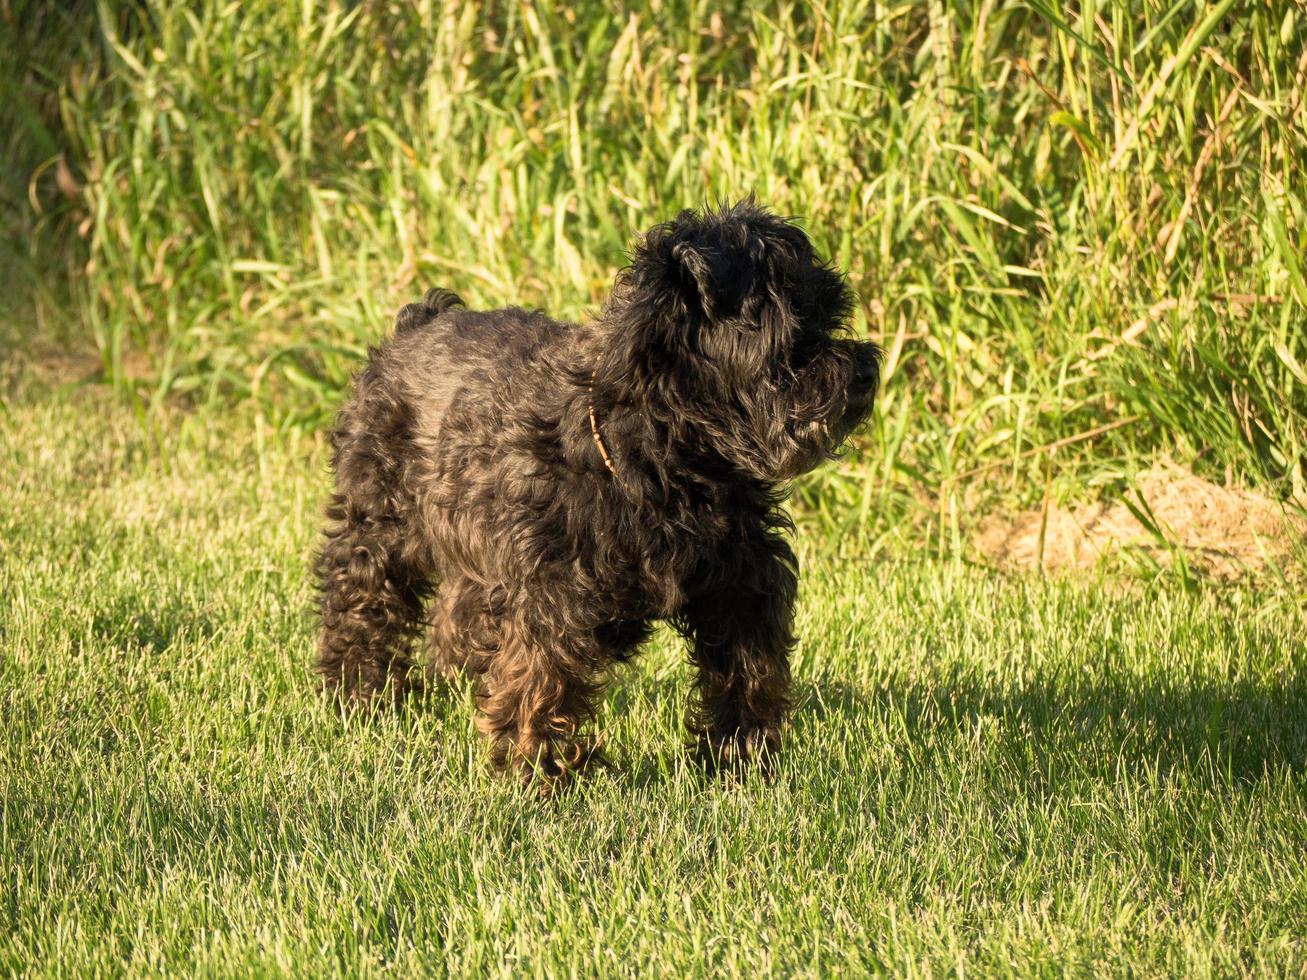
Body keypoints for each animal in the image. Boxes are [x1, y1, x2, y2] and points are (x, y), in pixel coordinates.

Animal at [314, 199, 878, 789]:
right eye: (794, 329)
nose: (866, 370)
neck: (665, 462)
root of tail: (419, 321)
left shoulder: (741, 587)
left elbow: (748, 675)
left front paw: (741, 760)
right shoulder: (551, 595)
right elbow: (540, 680)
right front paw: (539, 772)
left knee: (455, 614)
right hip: (380, 525)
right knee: (359, 603)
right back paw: (359, 695)